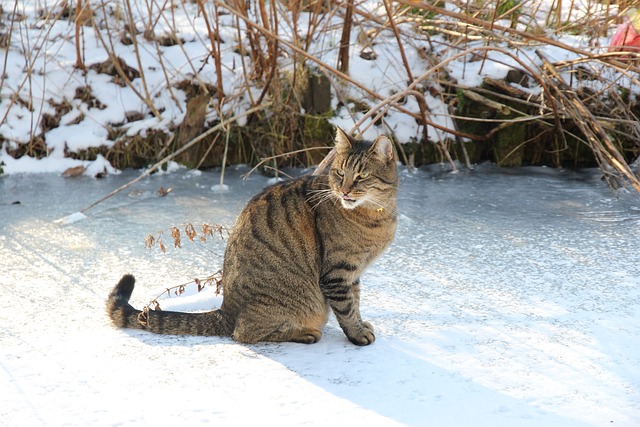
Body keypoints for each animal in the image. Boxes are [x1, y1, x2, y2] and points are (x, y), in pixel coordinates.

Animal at [107, 129, 398, 346]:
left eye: (361, 176)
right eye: (339, 173)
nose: (344, 190)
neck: (377, 215)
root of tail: (225, 310)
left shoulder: (353, 272)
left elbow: (355, 300)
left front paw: (360, 323)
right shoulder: (337, 272)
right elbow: (347, 307)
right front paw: (357, 334)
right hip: (293, 302)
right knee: (244, 333)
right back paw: (304, 333)